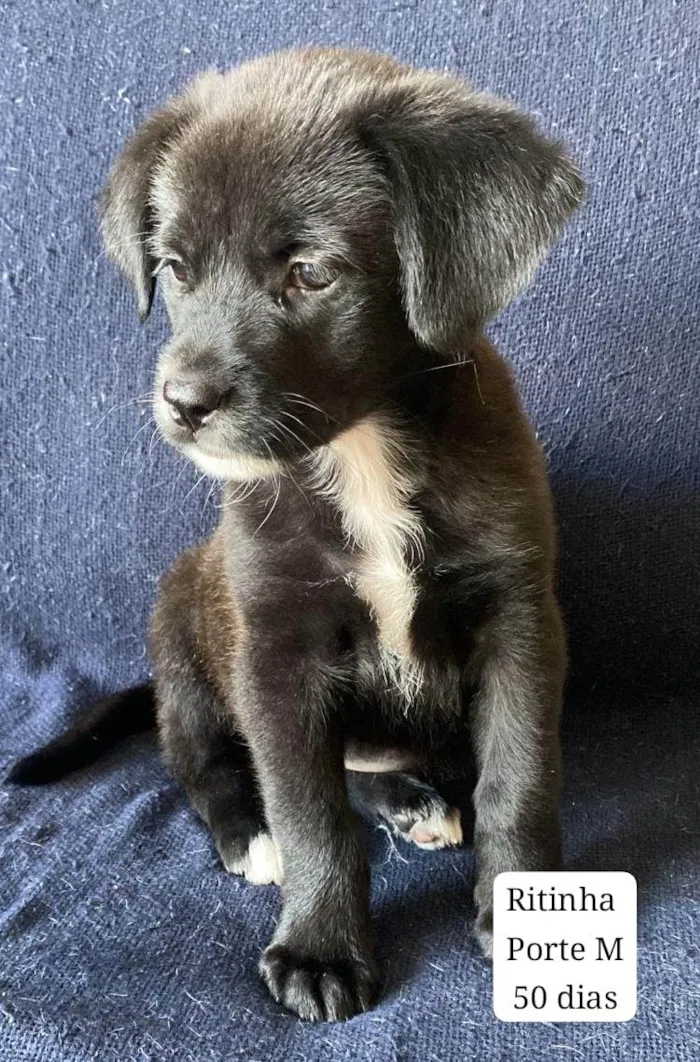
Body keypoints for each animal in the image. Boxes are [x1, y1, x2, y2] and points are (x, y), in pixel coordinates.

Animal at [9, 47, 586, 1019]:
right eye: (175, 268)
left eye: (311, 272)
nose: (183, 403)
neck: (360, 454)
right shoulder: (278, 649)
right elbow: (310, 811)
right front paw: (321, 949)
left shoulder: (518, 621)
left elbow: (520, 777)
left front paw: (525, 914)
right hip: (185, 657)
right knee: (206, 769)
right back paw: (254, 836)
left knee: (369, 763)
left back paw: (413, 799)